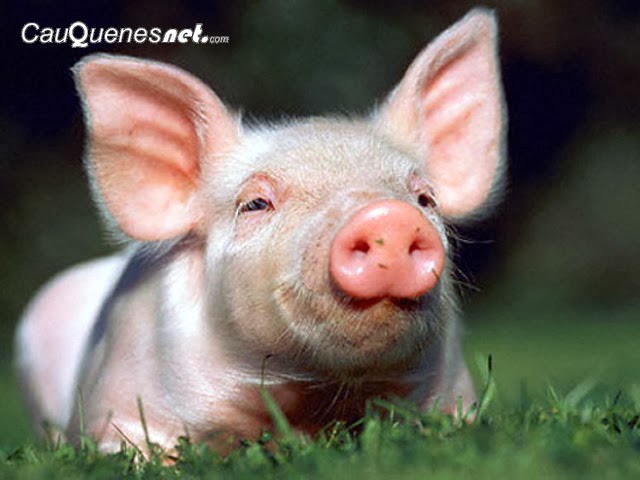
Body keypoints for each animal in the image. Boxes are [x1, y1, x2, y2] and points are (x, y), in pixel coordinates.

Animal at [15, 8, 506, 455]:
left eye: (425, 198)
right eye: (255, 203)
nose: (387, 215)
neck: (315, 399)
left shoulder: (454, 389)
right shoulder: (120, 395)